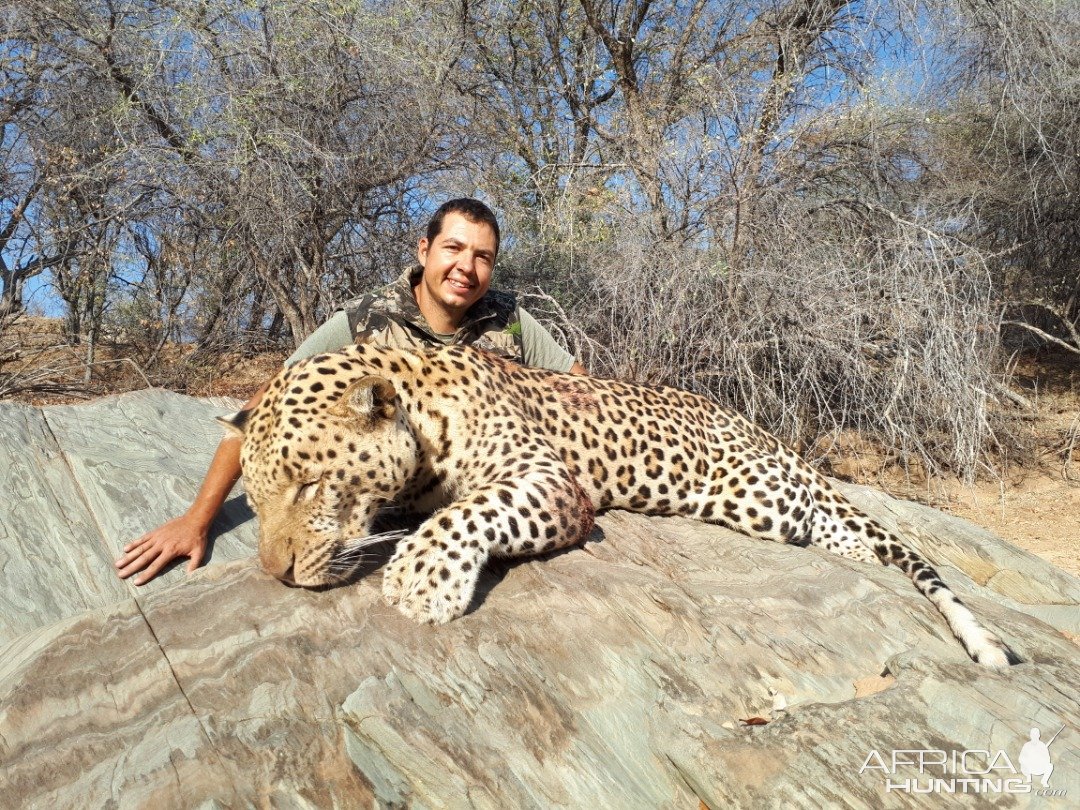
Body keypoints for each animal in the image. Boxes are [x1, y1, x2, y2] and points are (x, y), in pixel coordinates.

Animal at [217, 343, 1019, 665]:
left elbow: (470, 510)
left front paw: (422, 582)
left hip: (754, 491)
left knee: (836, 525)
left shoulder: (547, 479)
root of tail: (767, 433)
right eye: (254, 501)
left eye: (309, 484)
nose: (276, 574)